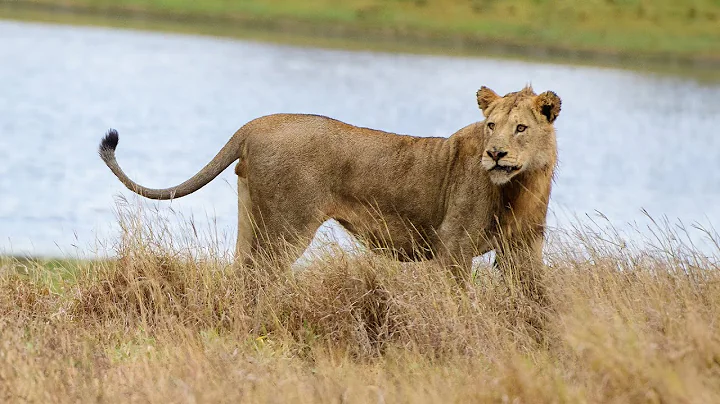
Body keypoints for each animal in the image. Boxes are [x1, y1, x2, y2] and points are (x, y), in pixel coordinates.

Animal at [99, 85, 561, 284]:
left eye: (520, 128)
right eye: (490, 126)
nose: (495, 154)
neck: (523, 182)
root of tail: (254, 124)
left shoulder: (525, 247)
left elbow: (535, 298)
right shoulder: (453, 245)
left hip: (252, 217)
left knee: (240, 272)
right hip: (287, 226)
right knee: (259, 276)